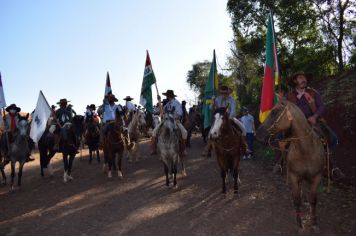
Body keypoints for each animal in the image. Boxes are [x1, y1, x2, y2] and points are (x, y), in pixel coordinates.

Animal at [256, 96, 326, 232]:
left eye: (274, 112)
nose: (258, 134)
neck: (306, 150)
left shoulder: (316, 177)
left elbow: (313, 199)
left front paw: (314, 222)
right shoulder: (293, 176)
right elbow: (296, 199)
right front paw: (299, 224)